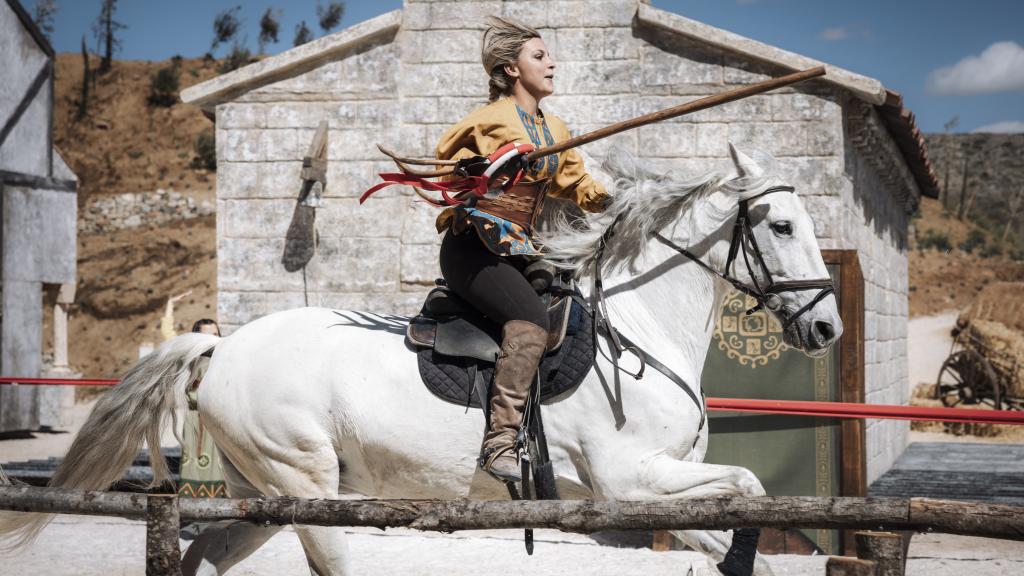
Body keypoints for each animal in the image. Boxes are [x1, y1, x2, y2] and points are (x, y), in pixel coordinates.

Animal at [2, 142, 839, 569]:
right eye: (782, 225)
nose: (827, 327)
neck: (638, 328)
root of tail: (225, 342)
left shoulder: (661, 492)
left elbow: (740, 523)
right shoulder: (627, 482)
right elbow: (750, 489)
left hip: (265, 496)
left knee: (203, 553)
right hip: (307, 487)